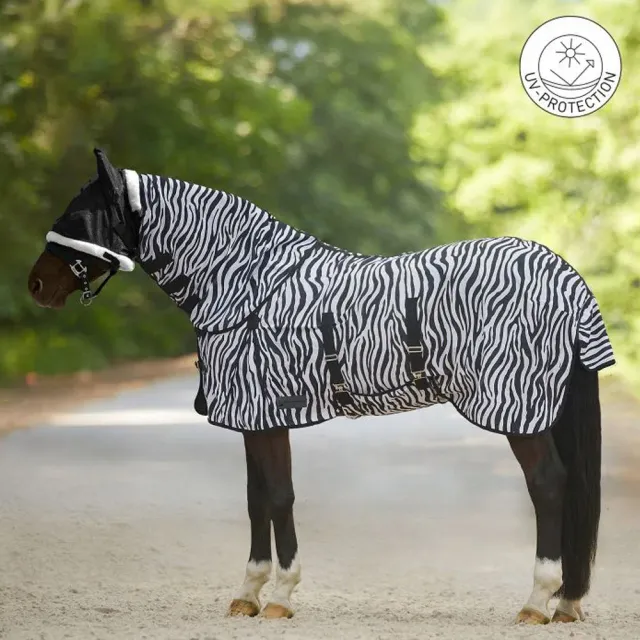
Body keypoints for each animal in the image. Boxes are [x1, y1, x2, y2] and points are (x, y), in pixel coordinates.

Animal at [27, 148, 614, 624]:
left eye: (78, 217)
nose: (35, 285)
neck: (248, 287)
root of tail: (566, 277)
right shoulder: (255, 417)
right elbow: (257, 498)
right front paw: (248, 595)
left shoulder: (266, 414)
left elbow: (279, 496)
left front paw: (281, 596)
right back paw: (566, 602)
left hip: (520, 411)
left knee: (549, 485)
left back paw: (537, 602)